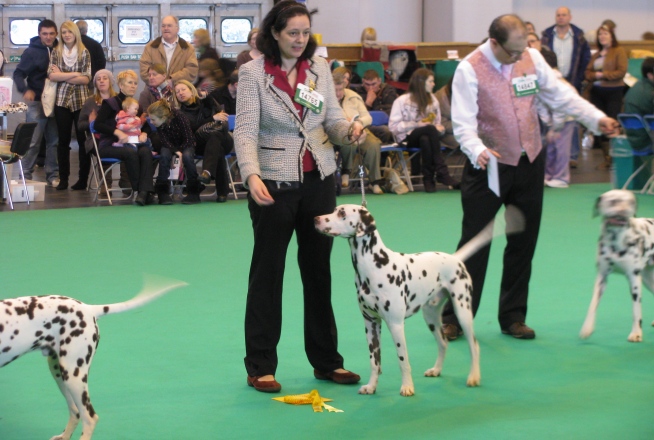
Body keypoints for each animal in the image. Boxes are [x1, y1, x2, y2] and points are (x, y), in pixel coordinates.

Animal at [316, 205, 524, 398]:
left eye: (342, 213)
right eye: (335, 210)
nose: (316, 219)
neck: (373, 266)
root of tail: (455, 259)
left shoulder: (396, 324)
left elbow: (403, 360)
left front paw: (407, 387)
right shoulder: (371, 323)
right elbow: (374, 361)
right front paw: (371, 387)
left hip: (463, 312)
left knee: (474, 345)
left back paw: (474, 376)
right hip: (431, 317)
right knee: (443, 343)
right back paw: (436, 370)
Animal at [580, 188, 652, 340]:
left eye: (630, 202)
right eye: (613, 201)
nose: (625, 211)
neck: (616, 242)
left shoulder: (634, 279)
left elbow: (636, 310)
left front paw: (636, 333)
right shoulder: (602, 277)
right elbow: (593, 305)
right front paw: (587, 328)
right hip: (648, 280)